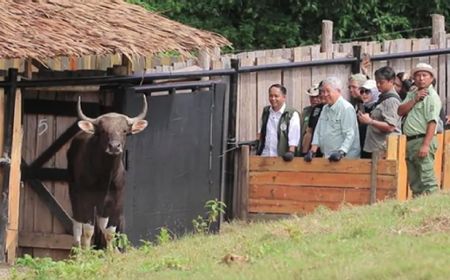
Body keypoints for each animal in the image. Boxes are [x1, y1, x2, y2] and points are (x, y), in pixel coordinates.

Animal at [67, 95, 148, 248]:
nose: (114, 147)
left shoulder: (116, 201)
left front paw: (110, 252)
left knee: (101, 225)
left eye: (124, 131)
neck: (106, 176)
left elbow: (109, 231)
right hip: (74, 194)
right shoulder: (86, 199)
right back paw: (77, 249)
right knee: (77, 223)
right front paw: (87, 252)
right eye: (103, 131)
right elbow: (88, 230)